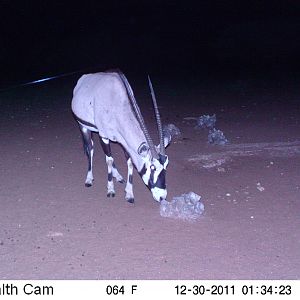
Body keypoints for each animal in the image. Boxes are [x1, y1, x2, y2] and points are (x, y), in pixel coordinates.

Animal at [70, 70, 172, 203]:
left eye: (166, 166)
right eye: (152, 167)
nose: (162, 197)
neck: (116, 101)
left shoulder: (124, 141)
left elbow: (129, 162)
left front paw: (129, 193)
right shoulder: (103, 136)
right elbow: (108, 160)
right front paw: (110, 190)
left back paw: (117, 176)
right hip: (83, 126)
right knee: (90, 149)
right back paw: (89, 178)